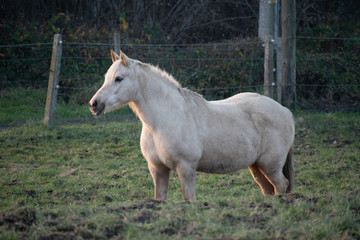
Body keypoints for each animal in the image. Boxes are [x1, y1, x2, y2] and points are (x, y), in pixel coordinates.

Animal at [88, 50, 294, 201]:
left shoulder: (186, 168)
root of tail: (286, 111)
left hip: (270, 165)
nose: (94, 104)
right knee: (268, 189)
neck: (162, 121)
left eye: (119, 78)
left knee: (281, 185)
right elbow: (159, 198)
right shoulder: (157, 169)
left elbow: (189, 198)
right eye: (106, 77)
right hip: (257, 166)